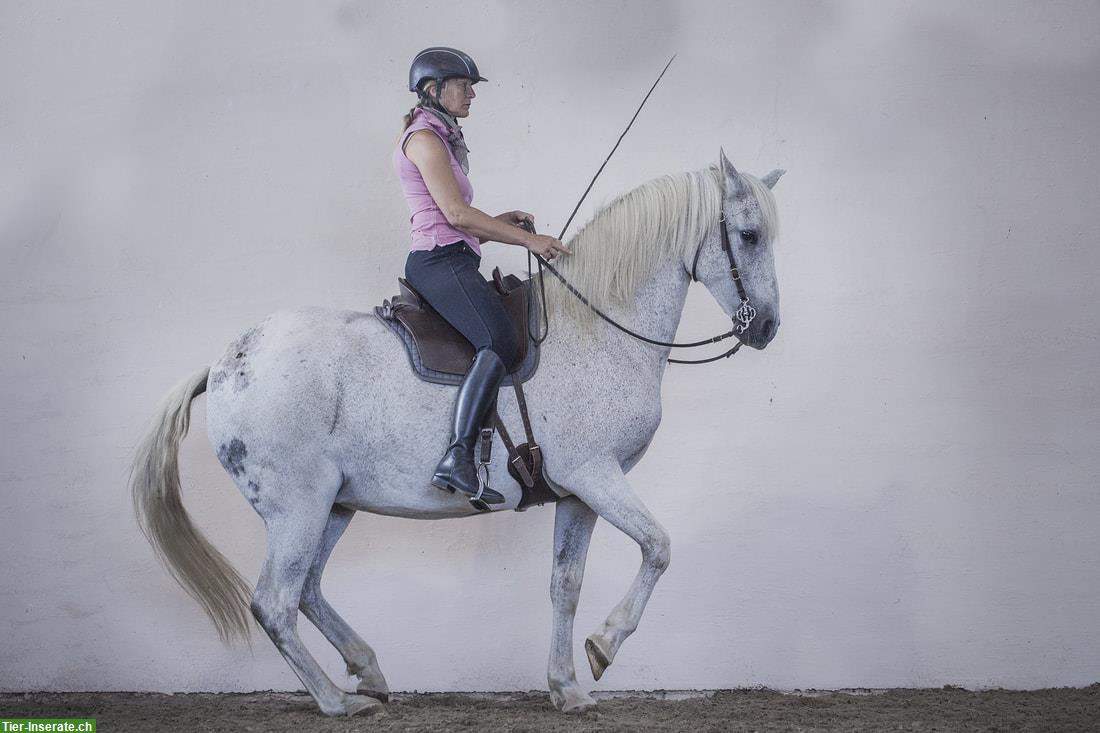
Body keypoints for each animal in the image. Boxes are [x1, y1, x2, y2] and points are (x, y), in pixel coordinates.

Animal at [128, 148, 783, 713]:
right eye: (749, 235)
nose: (767, 328)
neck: (597, 327)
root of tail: (226, 362)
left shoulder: (578, 493)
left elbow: (565, 585)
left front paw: (567, 687)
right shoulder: (597, 476)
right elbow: (659, 547)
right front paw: (604, 646)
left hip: (333, 504)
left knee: (308, 588)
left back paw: (367, 670)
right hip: (298, 506)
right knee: (275, 603)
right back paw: (338, 701)